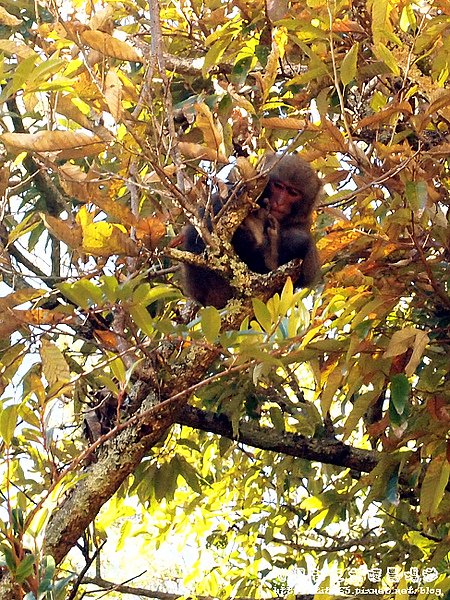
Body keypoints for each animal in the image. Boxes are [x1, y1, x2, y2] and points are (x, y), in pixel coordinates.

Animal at [181, 152, 322, 308]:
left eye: (293, 193)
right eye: (279, 186)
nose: (279, 202)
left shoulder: (303, 222)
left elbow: (308, 270)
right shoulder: (235, 191)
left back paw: (270, 254)